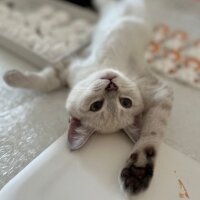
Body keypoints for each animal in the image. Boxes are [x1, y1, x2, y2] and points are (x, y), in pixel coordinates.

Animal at [2, 0, 173, 195]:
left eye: (125, 103)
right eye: (96, 105)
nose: (111, 85)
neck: (102, 67)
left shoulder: (161, 92)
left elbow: (152, 133)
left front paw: (138, 171)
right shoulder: (69, 67)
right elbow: (45, 81)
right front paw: (11, 77)